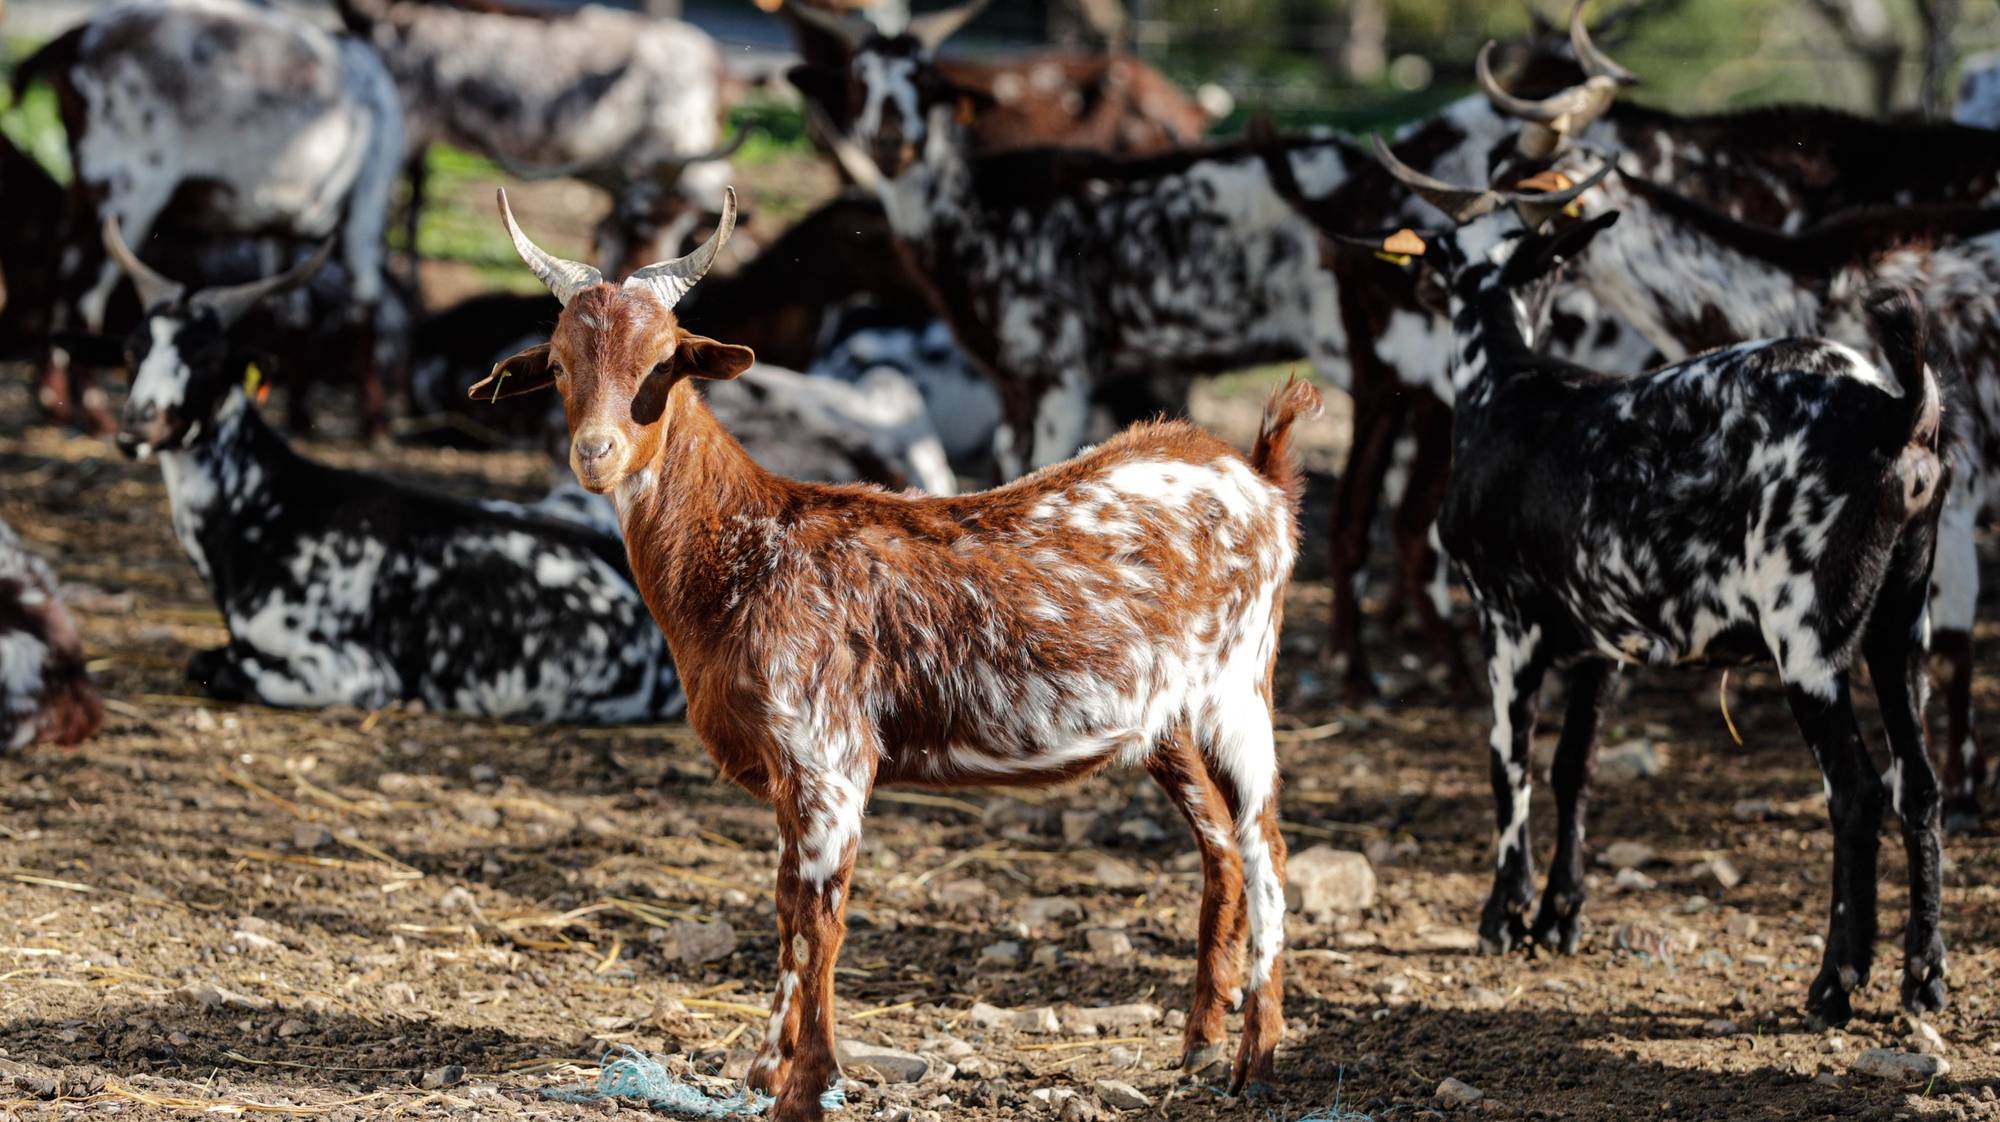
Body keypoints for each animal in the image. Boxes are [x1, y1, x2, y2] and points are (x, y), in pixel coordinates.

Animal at [105, 223, 684, 720]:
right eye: (133, 351)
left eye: (206, 359)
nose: (136, 426)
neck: (269, 509)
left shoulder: (348, 670)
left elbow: (209, 665)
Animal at [476, 188, 1320, 1112]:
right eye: (559, 365)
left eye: (665, 361)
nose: (595, 454)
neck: (748, 546)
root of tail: (1257, 471)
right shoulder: (788, 770)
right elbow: (787, 909)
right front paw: (768, 1070)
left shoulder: (830, 754)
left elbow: (819, 918)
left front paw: (808, 1082)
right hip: (1164, 718)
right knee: (1220, 845)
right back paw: (1201, 1043)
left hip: (1240, 683)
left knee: (1267, 847)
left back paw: (1258, 1057)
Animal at [1368, 149, 1944, 1024]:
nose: (1421, 292)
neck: (1507, 382)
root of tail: (1894, 408)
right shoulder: (1604, 643)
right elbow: (1574, 767)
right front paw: (1561, 917)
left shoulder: (1505, 620)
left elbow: (1509, 761)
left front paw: (1504, 917)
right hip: (1902, 623)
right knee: (1921, 785)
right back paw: (1924, 979)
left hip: (1808, 635)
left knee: (1857, 792)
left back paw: (1834, 984)